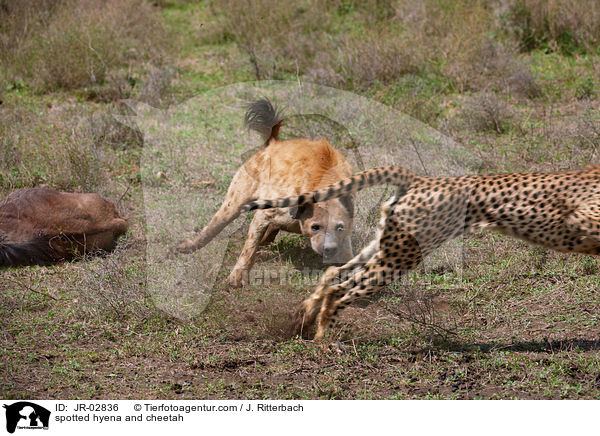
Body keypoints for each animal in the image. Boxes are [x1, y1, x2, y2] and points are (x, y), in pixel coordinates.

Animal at [244, 164, 600, 340]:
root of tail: (420, 179)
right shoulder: (581, 220)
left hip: (389, 244)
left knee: (334, 273)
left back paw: (304, 319)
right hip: (404, 253)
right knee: (342, 288)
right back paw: (323, 340)